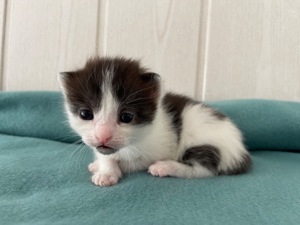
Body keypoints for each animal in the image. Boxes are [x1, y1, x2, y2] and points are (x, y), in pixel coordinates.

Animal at [59, 56, 251, 186]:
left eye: (126, 117)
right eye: (85, 114)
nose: (103, 136)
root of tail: (241, 150)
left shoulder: (157, 149)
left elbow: (131, 163)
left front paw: (108, 171)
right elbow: (105, 155)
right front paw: (103, 167)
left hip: (205, 141)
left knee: (203, 169)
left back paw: (166, 167)